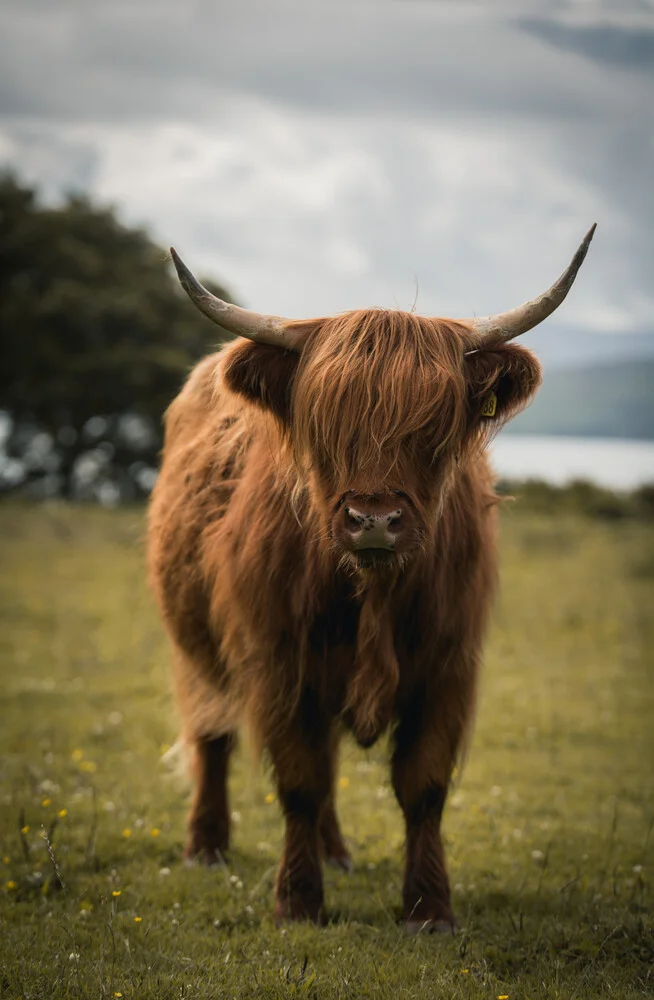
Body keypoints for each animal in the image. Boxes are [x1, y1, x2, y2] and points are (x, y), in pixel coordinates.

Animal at [150, 225, 600, 928]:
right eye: (325, 425)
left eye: (433, 427)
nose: (374, 520)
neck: (375, 592)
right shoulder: (278, 660)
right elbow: (299, 782)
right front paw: (297, 902)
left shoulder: (449, 664)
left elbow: (423, 786)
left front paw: (429, 907)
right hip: (193, 644)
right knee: (212, 733)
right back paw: (207, 847)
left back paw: (337, 853)